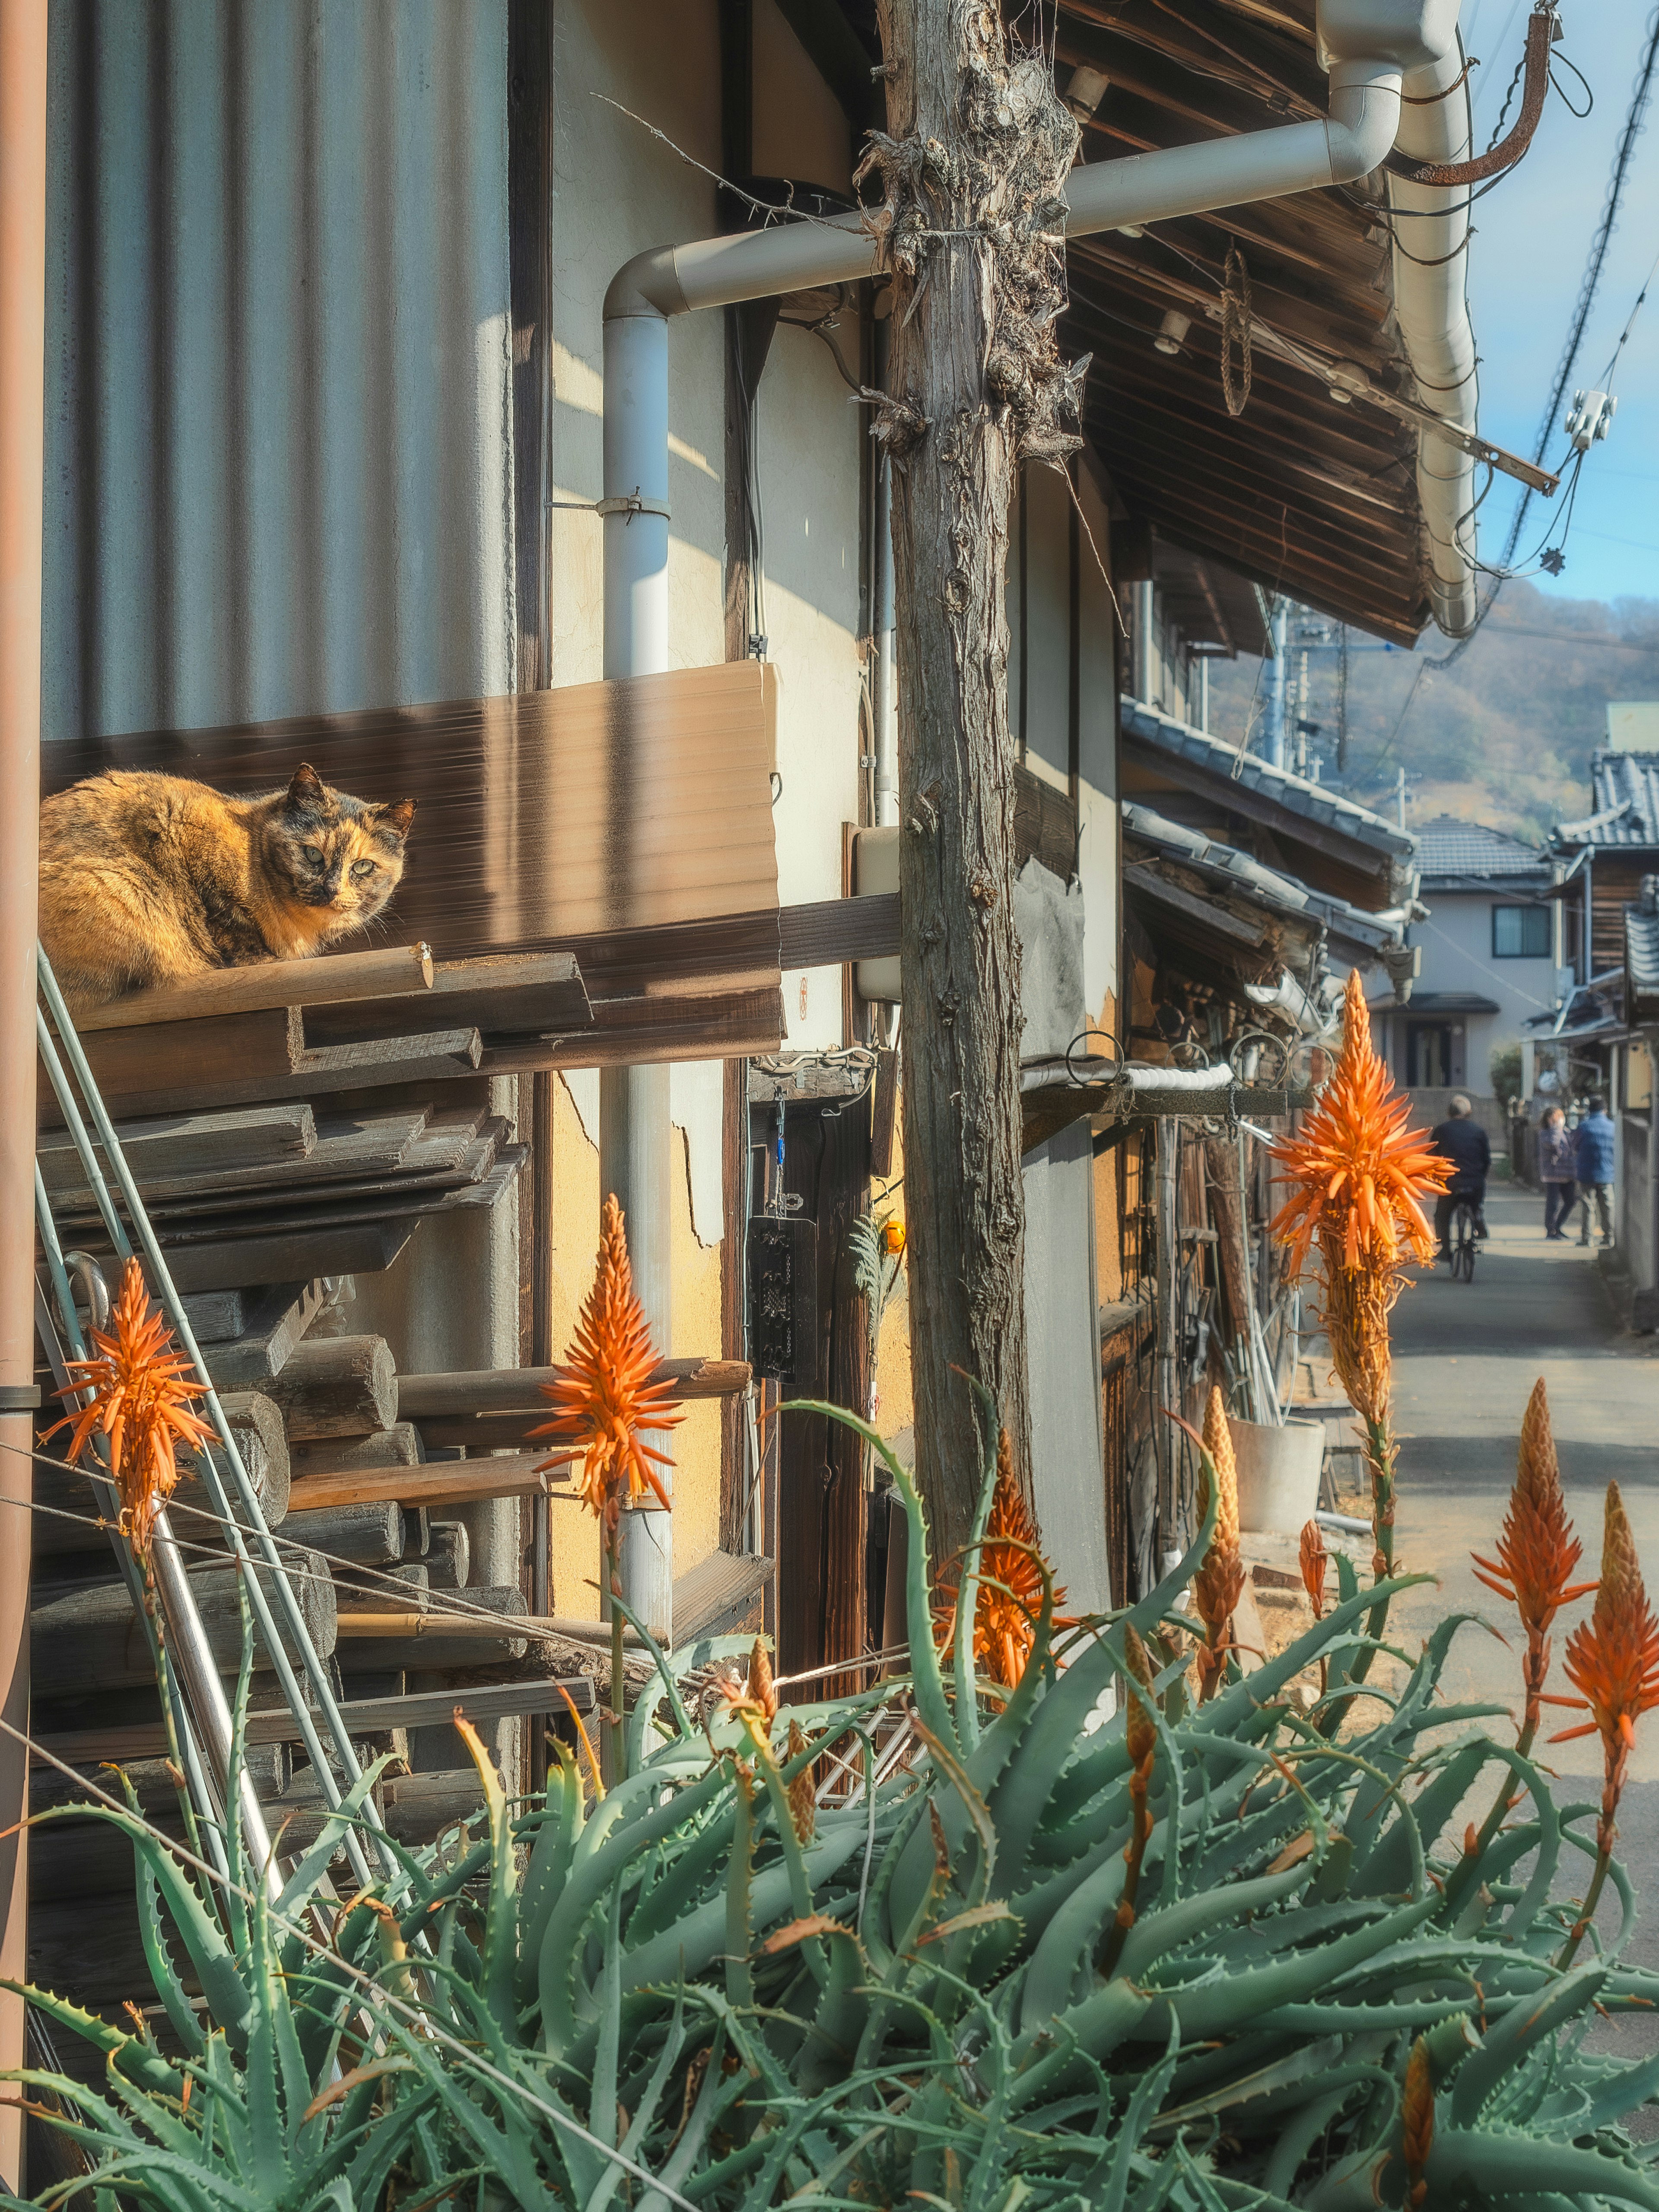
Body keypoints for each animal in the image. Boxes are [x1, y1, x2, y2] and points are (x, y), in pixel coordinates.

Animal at [39, 756, 418, 1009]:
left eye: (363, 867)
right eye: (312, 855)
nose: (331, 890)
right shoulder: (185, 831)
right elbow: (226, 923)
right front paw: (257, 959)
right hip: (123, 889)